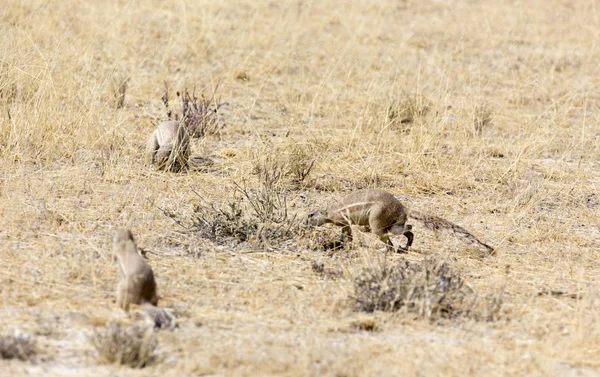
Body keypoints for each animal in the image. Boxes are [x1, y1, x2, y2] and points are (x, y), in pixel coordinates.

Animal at [308, 188, 494, 253]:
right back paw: (405, 246)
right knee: (409, 229)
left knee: (389, 240)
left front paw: (344, 242)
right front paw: (341, 241)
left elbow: (347, 231)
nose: (303, 223)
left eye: (310, 215)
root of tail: (404, 208)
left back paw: (387, 250)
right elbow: (344, 233)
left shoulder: (342, 220)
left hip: (378, 221)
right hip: (394, 224)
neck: (329, 212)